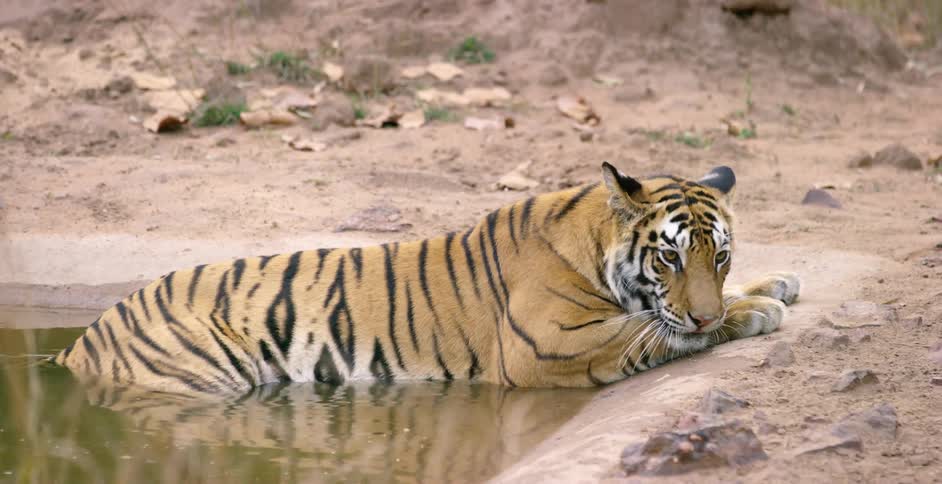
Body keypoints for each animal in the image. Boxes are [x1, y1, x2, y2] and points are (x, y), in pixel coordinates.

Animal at [53, 163, 800, 393]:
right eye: (669, 257)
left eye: (719, 256)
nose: (707, 314)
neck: (589, 242)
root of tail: (82, 340)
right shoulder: (547, 345)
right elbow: (650, 327)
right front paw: (753, 313)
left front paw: (772, 285)